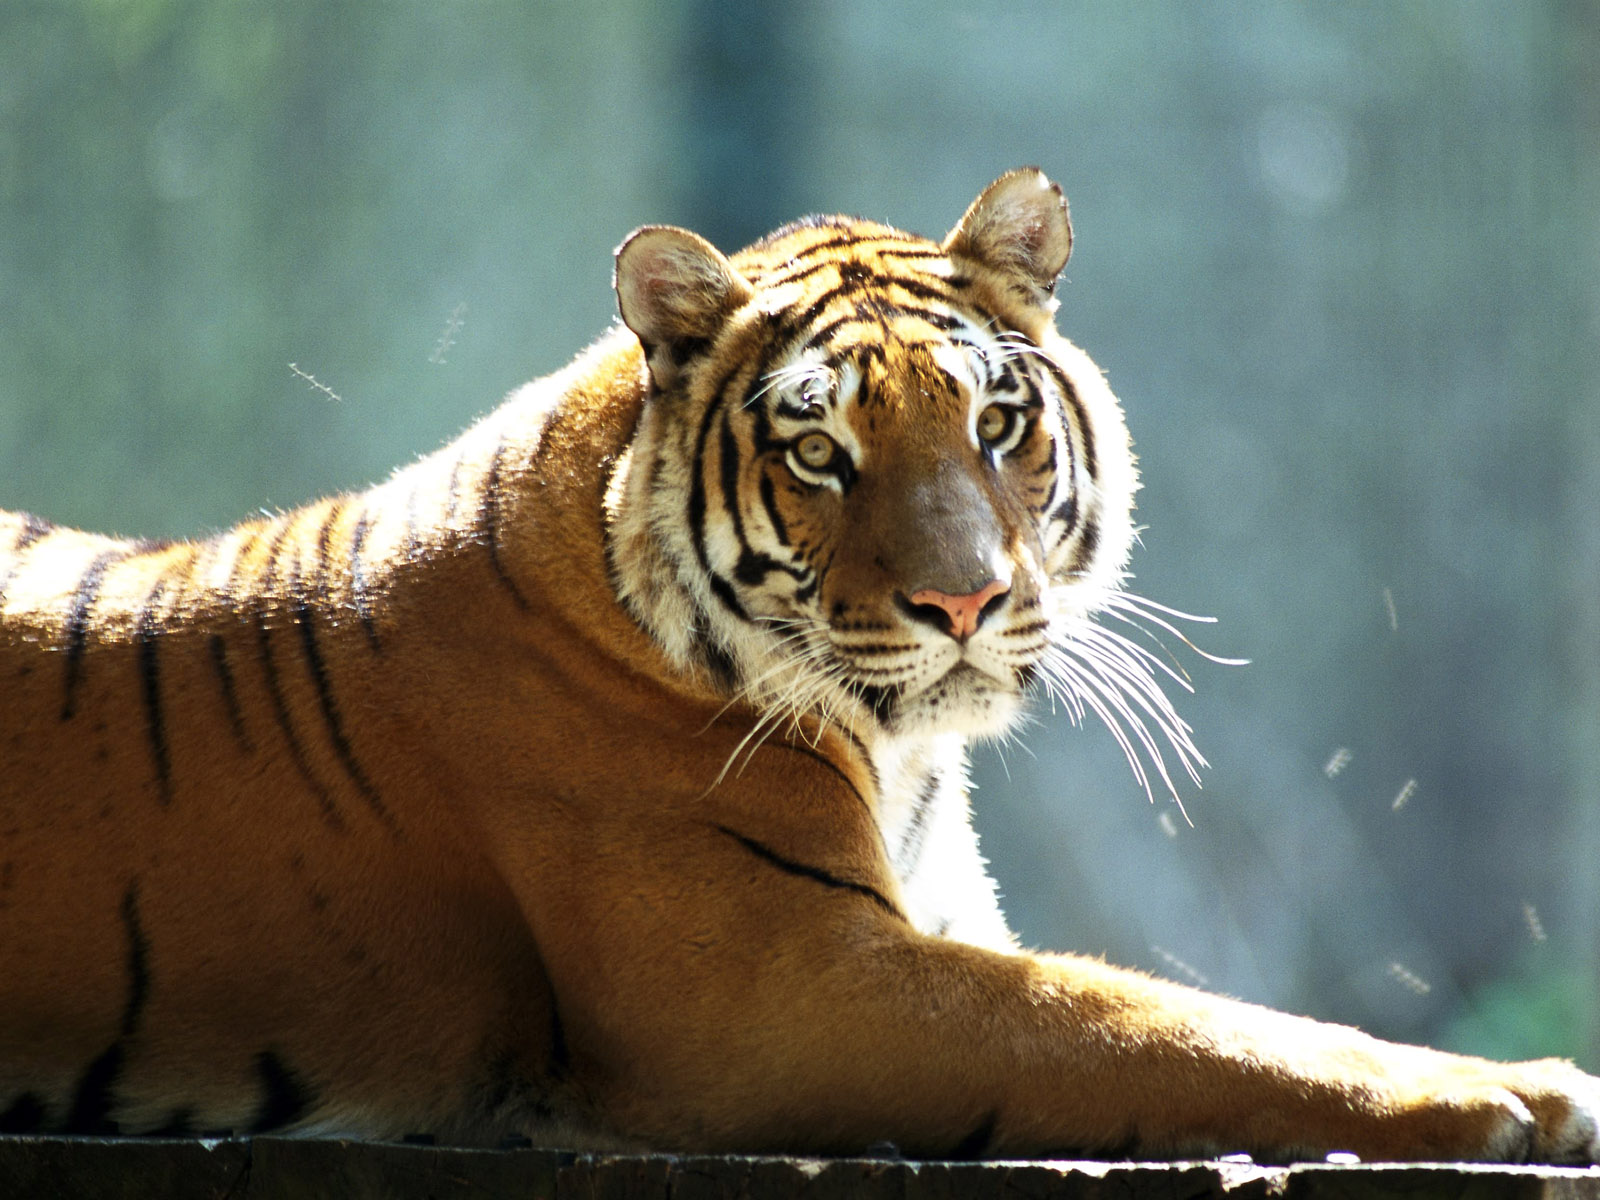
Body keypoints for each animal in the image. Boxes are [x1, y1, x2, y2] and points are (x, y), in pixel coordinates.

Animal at [1, 168, 1596, 1163]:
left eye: (997, 424)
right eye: (820, 451)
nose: (964, 601)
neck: (903, 752)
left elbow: (1170, 1008)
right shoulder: (788, 987)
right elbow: (1162, 1027)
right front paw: (1526, 1092)